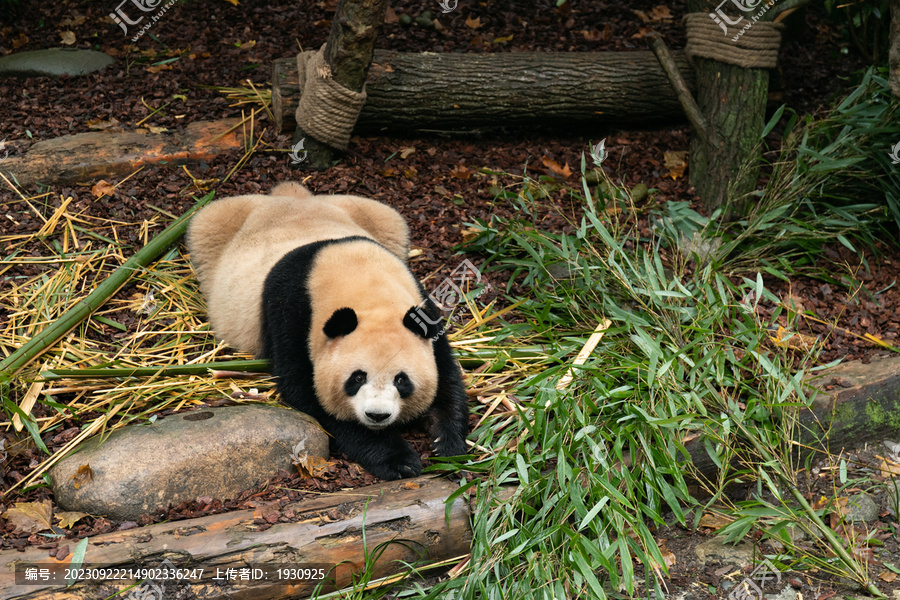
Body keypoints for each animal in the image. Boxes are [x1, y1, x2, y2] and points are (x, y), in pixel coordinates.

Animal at [190, 180, 472, 480]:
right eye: (357, 377)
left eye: (401, 380)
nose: (377, 416)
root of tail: (291, 195)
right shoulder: (292, 313)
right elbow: (310, 396)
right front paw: (397, 460)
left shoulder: (421, 307)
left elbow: (447, 379)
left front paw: (449, 445)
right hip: (219, 226)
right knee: (205, 224)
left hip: (373, 215)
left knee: (390, 219)